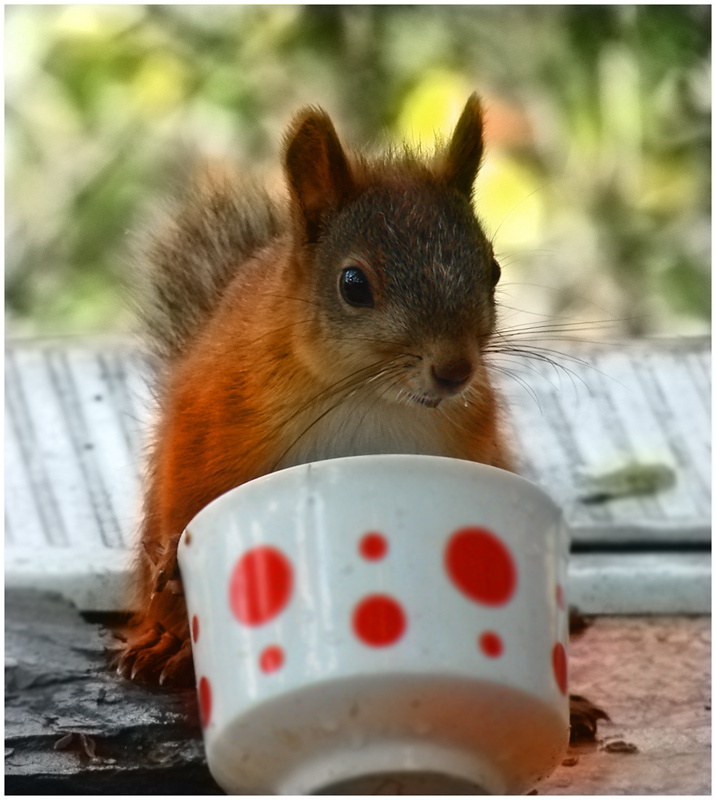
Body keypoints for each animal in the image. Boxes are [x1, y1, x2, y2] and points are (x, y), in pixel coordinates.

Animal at [114, 93, 515, 687]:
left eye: (493, 270)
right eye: (354, 284)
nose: (454, 371)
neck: (365, 395)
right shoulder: (217, 409)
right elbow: (187, 491)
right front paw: (173, 564)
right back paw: (168, 641)